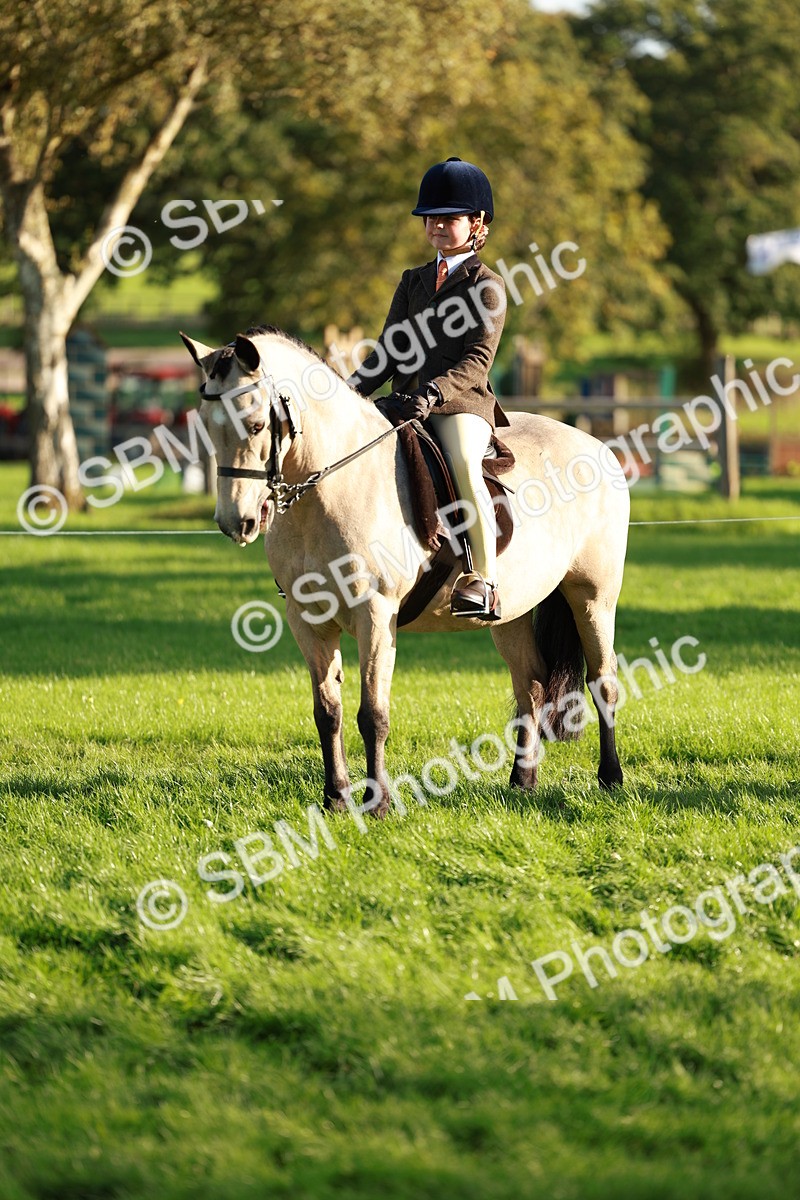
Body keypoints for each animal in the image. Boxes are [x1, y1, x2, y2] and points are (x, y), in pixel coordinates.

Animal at [181, 326, 630, 816]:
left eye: (257, 425)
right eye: (207, 426)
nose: (236, 522)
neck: (333, 487)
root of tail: (597, 446)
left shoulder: (375, 615)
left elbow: (372, 714)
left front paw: (377, 803)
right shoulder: (307, 620)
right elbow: (328, 712)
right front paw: (335, 798)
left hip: (592, 597)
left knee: (602, 681)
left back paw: (610, 779)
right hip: (510, 612)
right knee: (529, 683)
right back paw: (521, 781)